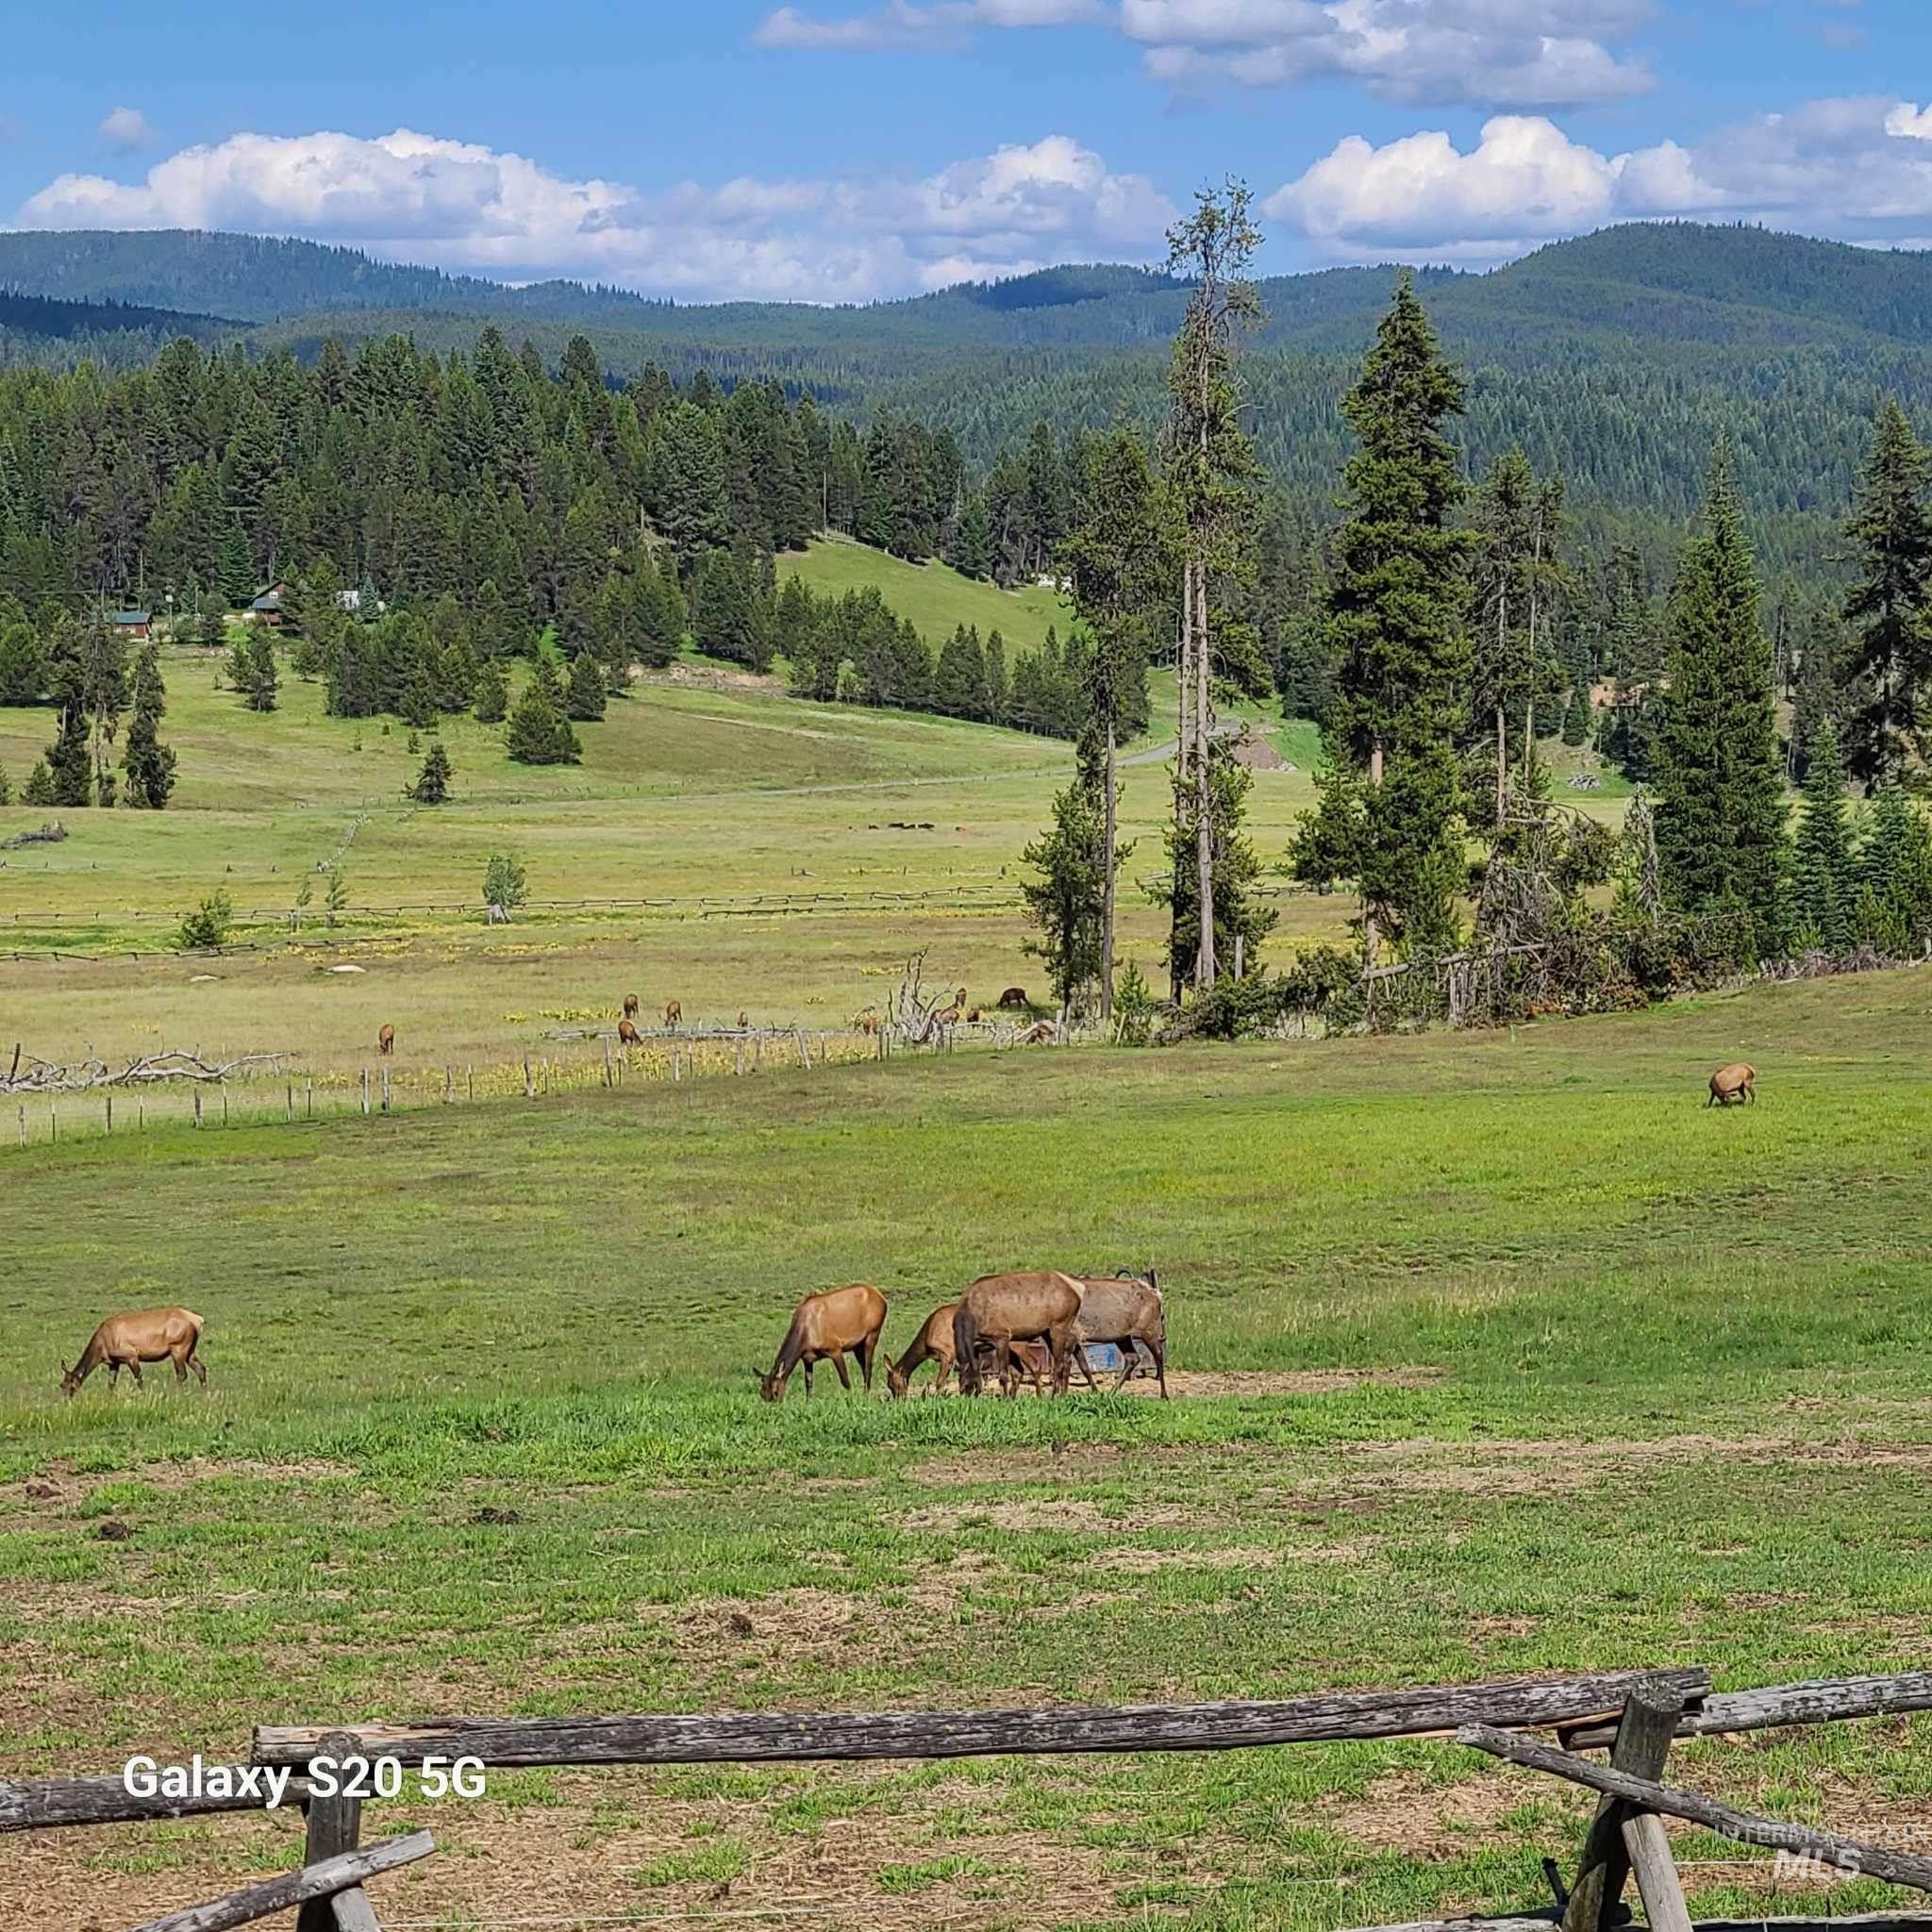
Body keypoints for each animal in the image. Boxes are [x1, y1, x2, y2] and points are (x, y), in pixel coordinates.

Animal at [60, 1306, 208, 1398]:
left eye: (70, 1385)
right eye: (61, 1385)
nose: (66, 1400)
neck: (102, 1345)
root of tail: (197, 1320)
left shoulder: (131, 1356)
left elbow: (139, 1380)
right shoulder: (114, 1362)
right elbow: (111, 1384)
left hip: (178, 1348)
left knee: (182, 1374)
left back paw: (176, 1395)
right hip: (190, 1350)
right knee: (201, 1368)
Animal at [757, 1282, 884, 1406]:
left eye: (775, 1392)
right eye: (762, 1394)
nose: (774, 1408)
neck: (805, 1336)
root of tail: (882, 1298)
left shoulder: (835, 1348)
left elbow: (845, 1381)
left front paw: (852, 1399)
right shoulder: (807, 1358)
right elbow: (808, 1383)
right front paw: (808, 1402)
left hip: (873, 1334)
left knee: (868, 1368)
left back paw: (866, 1395)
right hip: (857, 1346)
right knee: (863, 1366)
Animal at [954, 1267, 1090, 1391]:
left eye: (970, 1386)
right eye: (961, 1387)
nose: (969, 1397)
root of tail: (1077, 1288)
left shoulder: (1001, 1336)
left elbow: (1003, 1375)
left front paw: (1006, 1398)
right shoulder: (977, 1346)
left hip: (1060, 1325)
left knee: (1059, 1364)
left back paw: (1054, 1396)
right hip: (1047, 1331)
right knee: (1066, 1360)